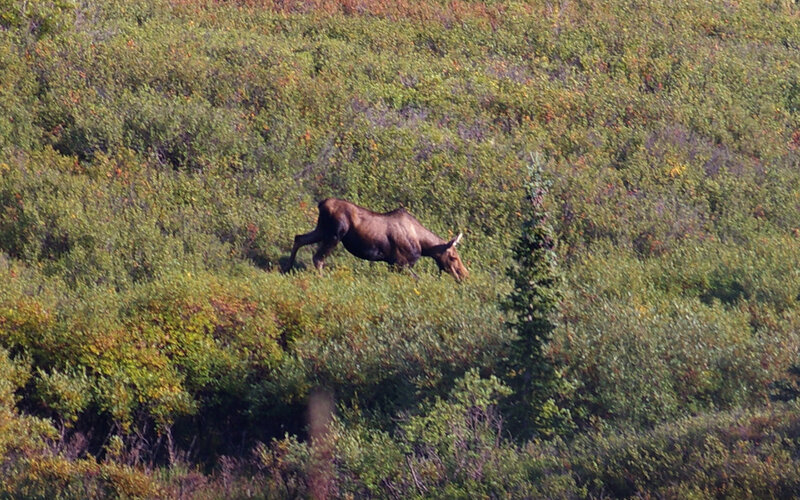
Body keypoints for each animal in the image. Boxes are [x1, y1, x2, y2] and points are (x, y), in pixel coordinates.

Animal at [283, 198, 469, 281]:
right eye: (453, 257)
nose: (465, 274)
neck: (424, 247)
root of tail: (321, 204)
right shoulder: (401, 263)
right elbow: (418, 280)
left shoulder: (394, 265)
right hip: (334, 234)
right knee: (317, 258)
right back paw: (321, 279)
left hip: (322, 230)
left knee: (299, 238)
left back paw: (287, 268)